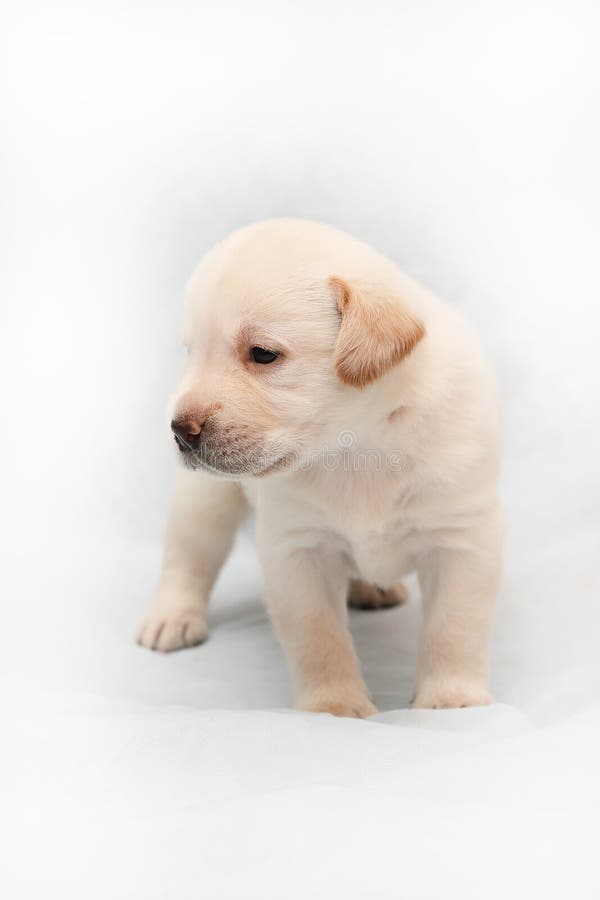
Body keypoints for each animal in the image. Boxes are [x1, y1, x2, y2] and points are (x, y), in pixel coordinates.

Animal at [137, 218, 502, 716]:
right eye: (191, 353)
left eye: (263, 354)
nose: (179, 430)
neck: (354, 446)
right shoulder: (298, 550)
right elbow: (318, 636)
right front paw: (334, 707)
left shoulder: (462, 539)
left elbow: (454, 627)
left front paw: (451, 700)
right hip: (205, 498)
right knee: (188, 555)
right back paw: (171, 616)